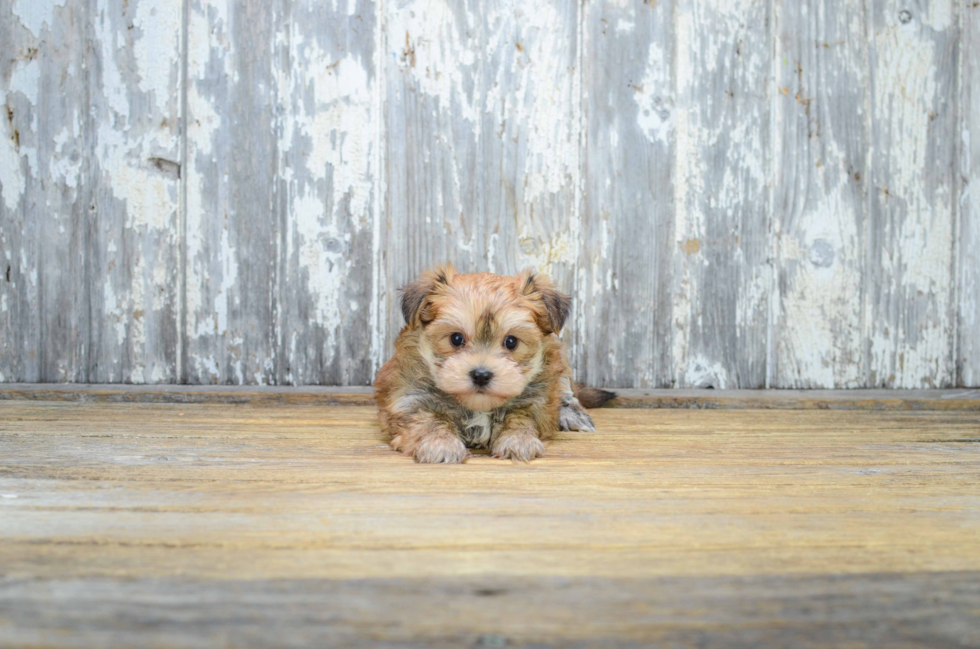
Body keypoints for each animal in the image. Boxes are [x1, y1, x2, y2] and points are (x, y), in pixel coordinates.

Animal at [376, 266, 612, 464]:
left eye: (511, 342)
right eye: (456, 339)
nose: (481, 375)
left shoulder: (539, 401)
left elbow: (522, 417)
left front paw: (519, 440)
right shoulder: (410, 398)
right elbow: (427, 420)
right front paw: (441, 444)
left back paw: (572, 414)